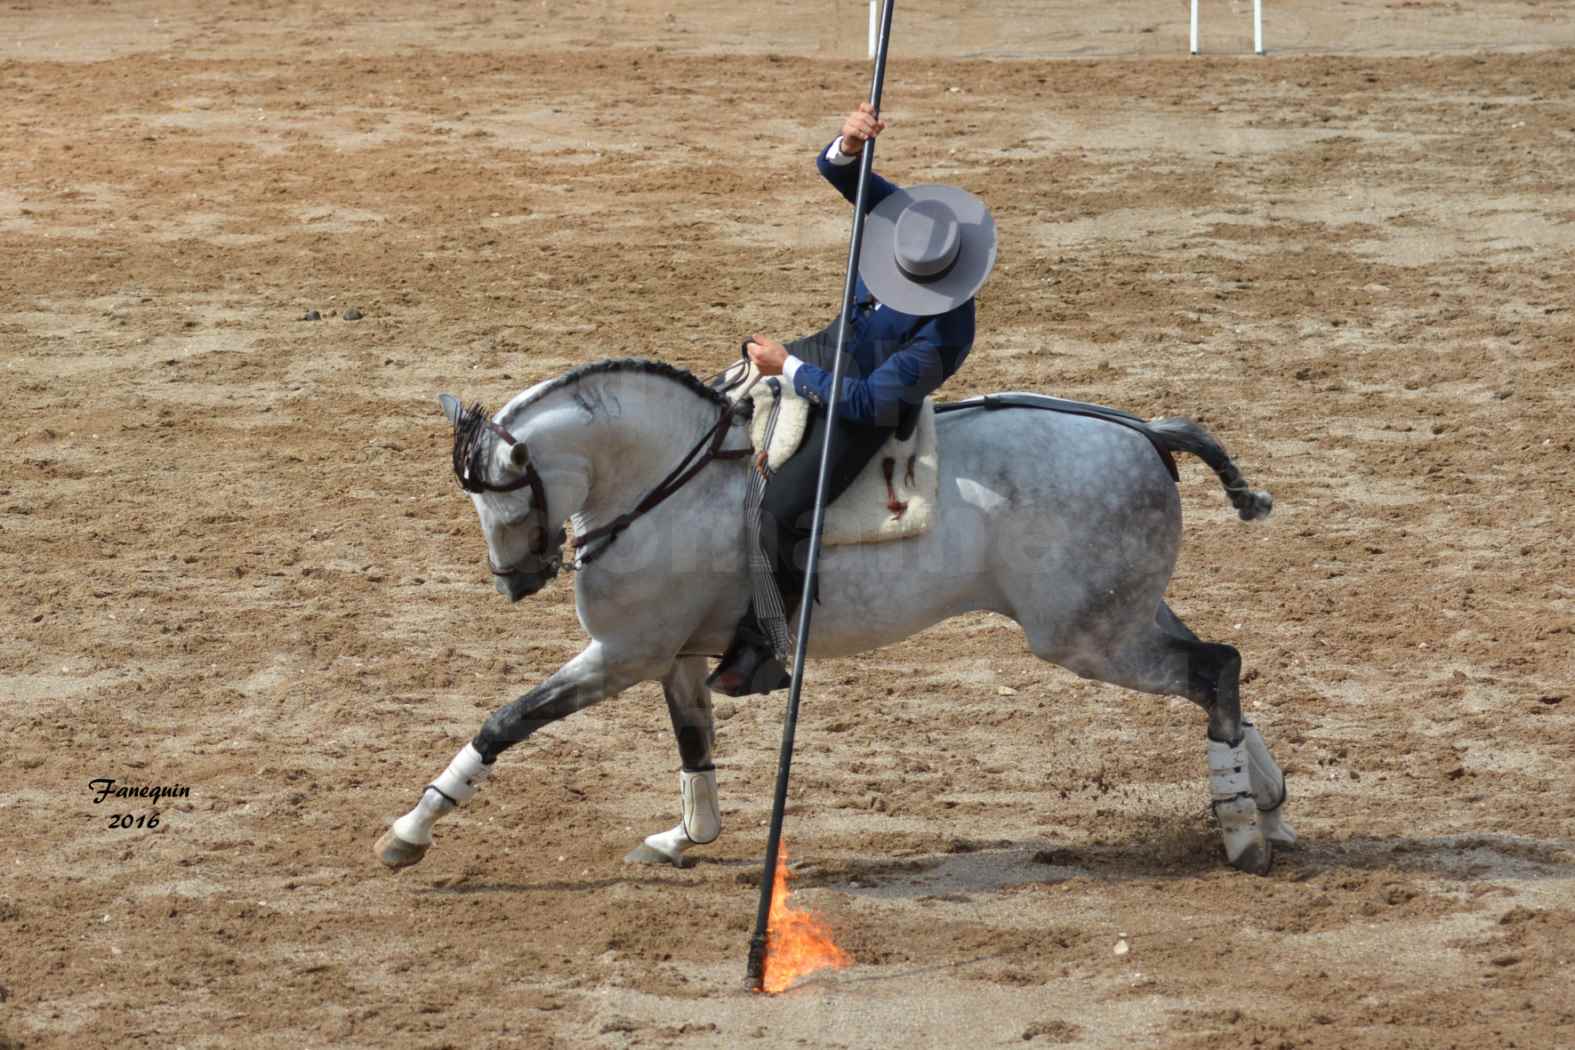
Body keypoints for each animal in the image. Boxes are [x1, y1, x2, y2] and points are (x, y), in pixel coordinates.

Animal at [374, 362, 1297, 881]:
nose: (512, 583)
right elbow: (694, 749)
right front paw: (683, 839)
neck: (667, 479)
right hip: (1126, 612)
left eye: (505, 497)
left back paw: (1241, 835)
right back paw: (1273, 808)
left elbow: (506, 722)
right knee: (1222, 669)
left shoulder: (620, 654)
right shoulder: (674, 657)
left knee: (1212, 670)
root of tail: (1144, 433)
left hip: (1089, 637)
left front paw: (409, 832)